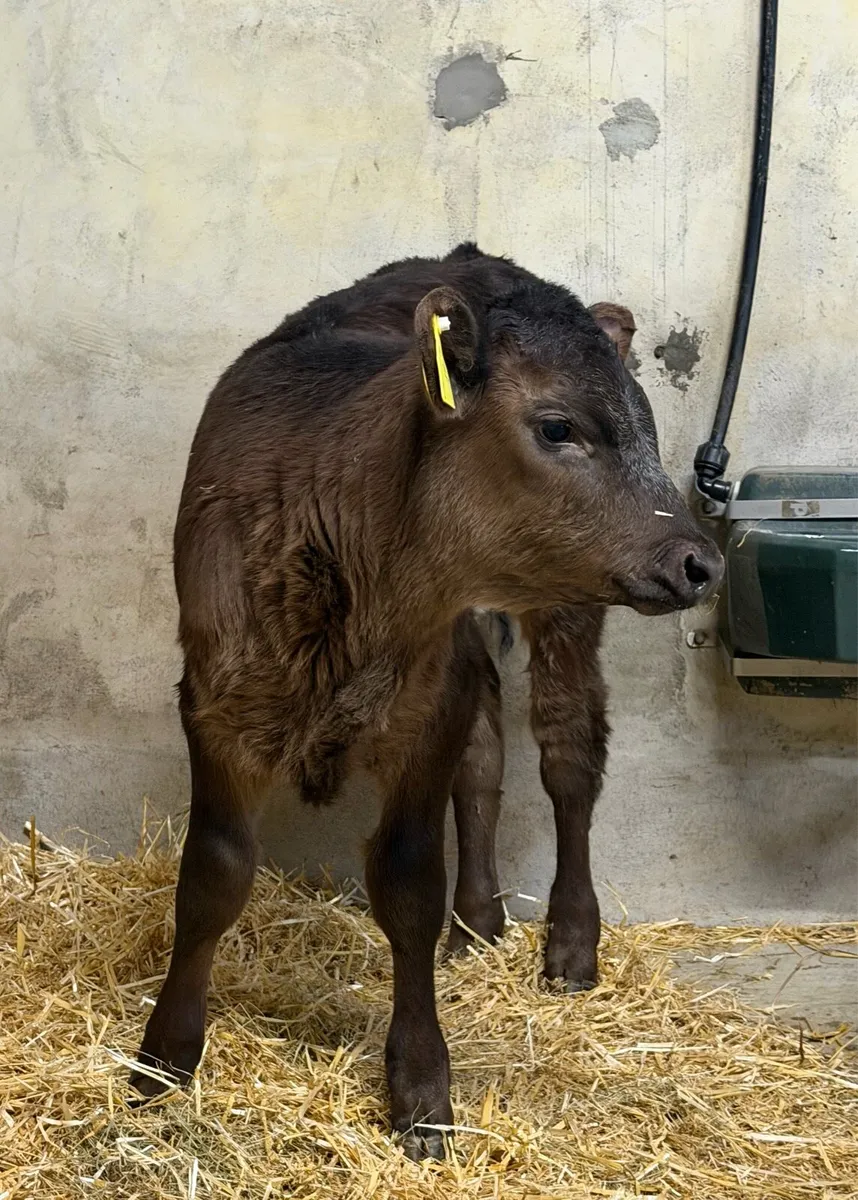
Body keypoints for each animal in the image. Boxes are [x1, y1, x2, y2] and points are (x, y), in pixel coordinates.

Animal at [131, 244, 723, 1160]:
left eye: (650, 434)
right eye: (558, 427)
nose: (702, 561)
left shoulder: (421, 710)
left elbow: (407, 882)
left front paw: (419, 1087)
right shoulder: (216, 695)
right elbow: (214, 871)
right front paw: (164, 1059)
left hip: (559, 610)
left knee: (567, 755)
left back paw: (569, 941)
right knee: (483, 756)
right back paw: (476, 920)